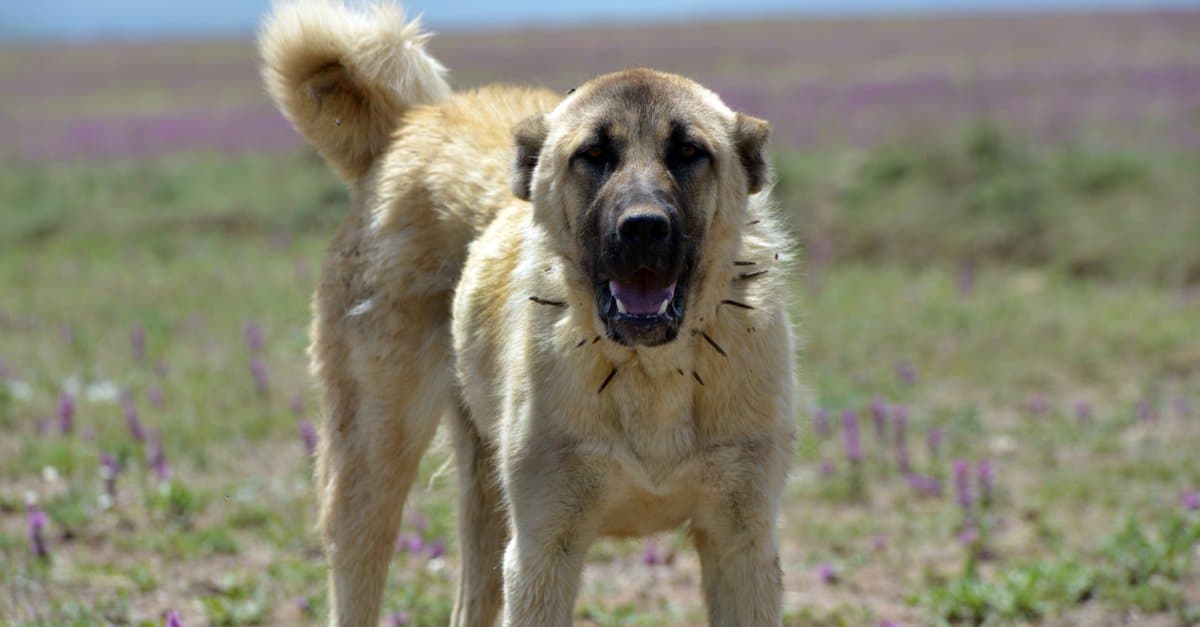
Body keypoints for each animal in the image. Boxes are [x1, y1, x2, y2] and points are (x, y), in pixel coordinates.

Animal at [260, 2, 796, 619]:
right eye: (593, 155)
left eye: (688, 152)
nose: (642, 228)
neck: (652, 374)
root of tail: (413, 122)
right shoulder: (543, 551)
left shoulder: (742, 547)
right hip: (371, 472)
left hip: (484, 500)